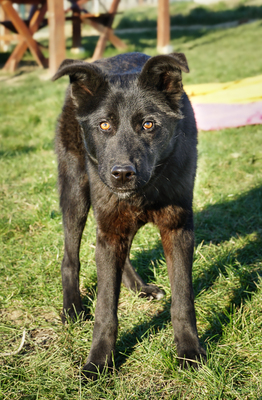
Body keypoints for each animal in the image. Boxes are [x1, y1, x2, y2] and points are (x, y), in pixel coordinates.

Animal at [52, 51, 206, 380]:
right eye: (104, 125)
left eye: (149, 124)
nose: (122, 174)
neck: (148, 188)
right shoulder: (110, 229)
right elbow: (105, 310)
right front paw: (99, 362)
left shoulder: (177, 229)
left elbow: (183, 299)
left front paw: (189, 350)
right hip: (75, 191)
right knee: (70, 257)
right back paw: (72, 308)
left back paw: (139, 287)